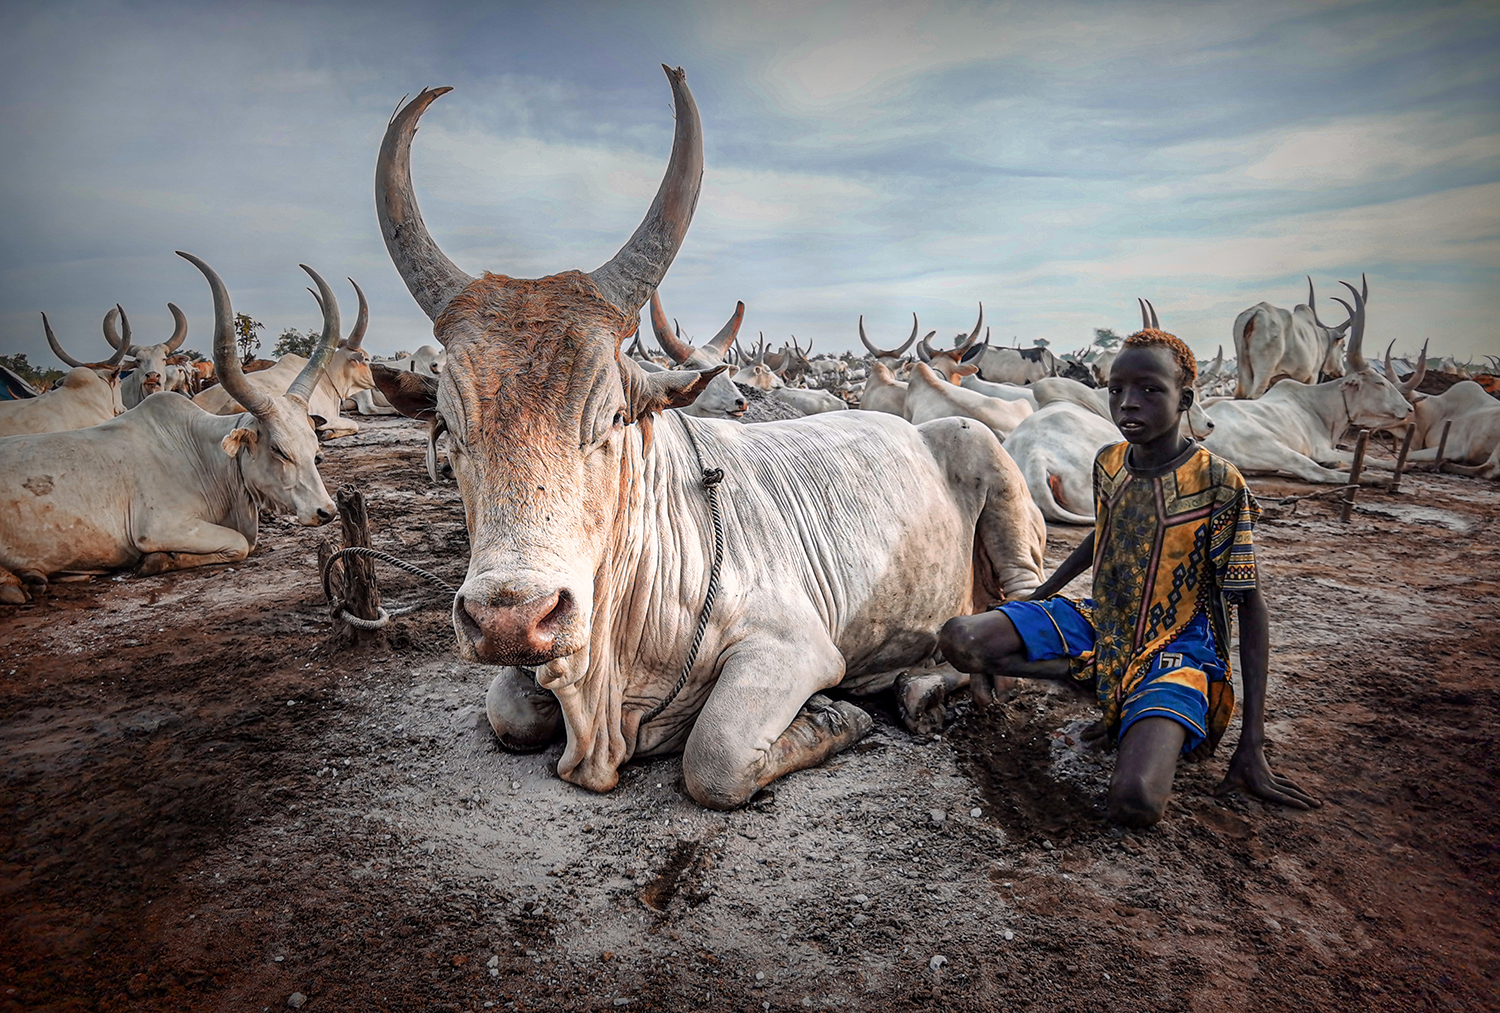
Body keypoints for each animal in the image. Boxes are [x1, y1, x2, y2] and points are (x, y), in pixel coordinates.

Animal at [0, 255, 334, 603]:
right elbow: (240, 545)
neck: (203, 455)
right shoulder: (161, 528)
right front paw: (158, 560)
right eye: (278, 450)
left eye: (315, 451)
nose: (326, 511)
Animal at [192, 277, 375, 441]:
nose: (373, 383)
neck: (327, 380)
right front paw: (328, 432)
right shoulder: (327, 417)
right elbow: (353, 425)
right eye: (366, 359)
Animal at [366, 65, 1044, 810]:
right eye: (448, 427)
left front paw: (833, 716)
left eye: (613, 418)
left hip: (993, 478)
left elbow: (714, 756)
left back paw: (919, 687)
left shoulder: (792, 646)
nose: (511, 617)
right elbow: (508, 710)